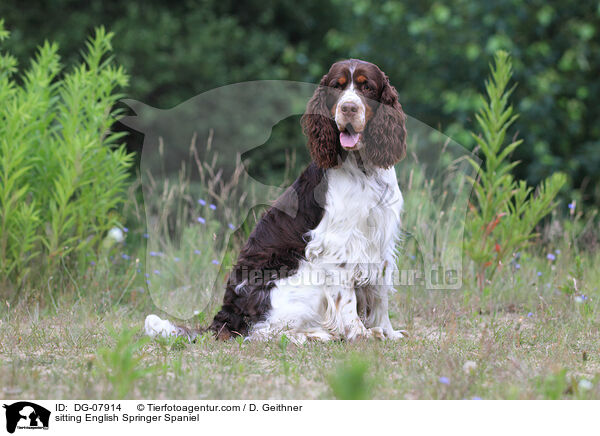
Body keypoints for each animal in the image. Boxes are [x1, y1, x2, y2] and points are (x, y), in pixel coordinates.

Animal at [145, 58, 408, 344]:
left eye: (367, 87)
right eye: (337, 88)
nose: (348, 108)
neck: (364, 169)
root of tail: (225, 319)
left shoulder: (380, 240)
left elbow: (380, 294)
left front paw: (387, 331)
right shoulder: (336, 243)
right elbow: (346, 297)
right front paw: (359, 334)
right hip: (301, 275)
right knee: (264, 332)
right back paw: (316, 335)